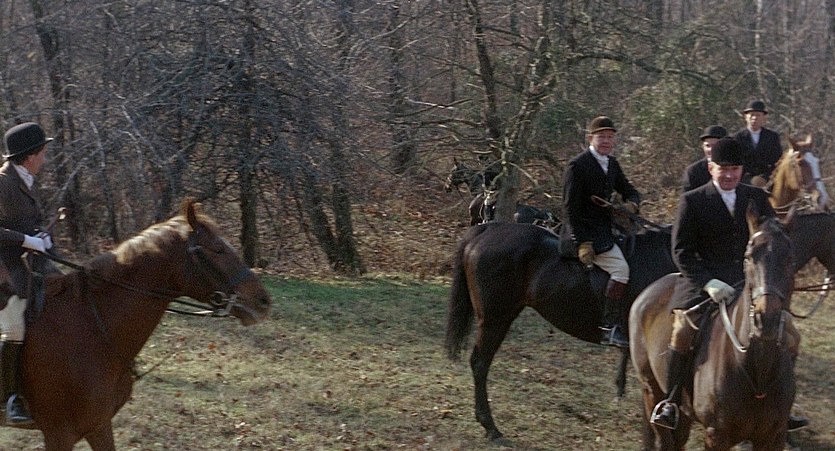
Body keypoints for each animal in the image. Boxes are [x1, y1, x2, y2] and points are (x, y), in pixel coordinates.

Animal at [630, 212, 796, 450]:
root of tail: (647, 292)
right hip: (651, 388)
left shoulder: (775, 436)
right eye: (748, 257)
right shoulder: (717, 435)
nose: (766, 319)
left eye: (790, 258)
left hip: (684, 412)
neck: (757, 370)